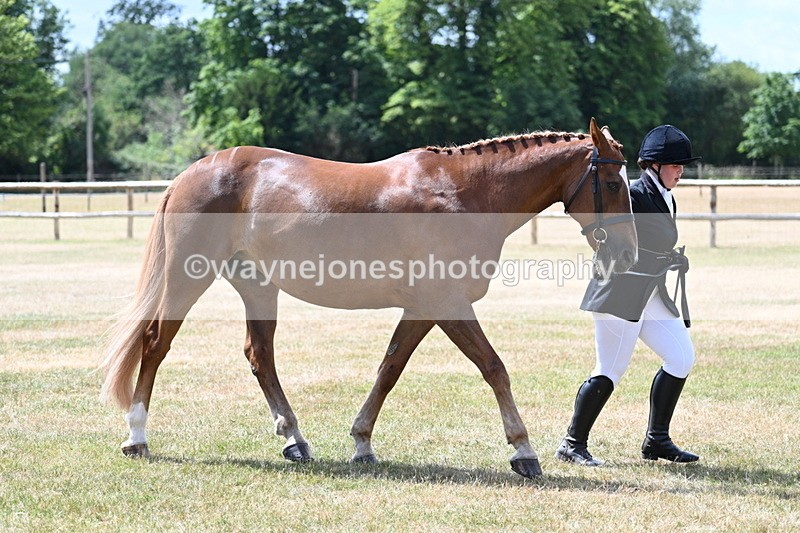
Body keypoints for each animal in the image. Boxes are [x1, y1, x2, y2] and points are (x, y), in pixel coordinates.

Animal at [100, 117, 637, 479]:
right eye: (613, 182)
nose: (631, 249)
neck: (462, 193)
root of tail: (192, 173)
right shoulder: (447, 303)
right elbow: (494, 368)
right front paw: (523, 452)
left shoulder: (423, 308)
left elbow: (389, 369)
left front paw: (362, 443)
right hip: (188, 278)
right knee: (155, 344)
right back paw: (137, 436)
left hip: (257, 285)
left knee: (260, 356)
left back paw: (295, 440)